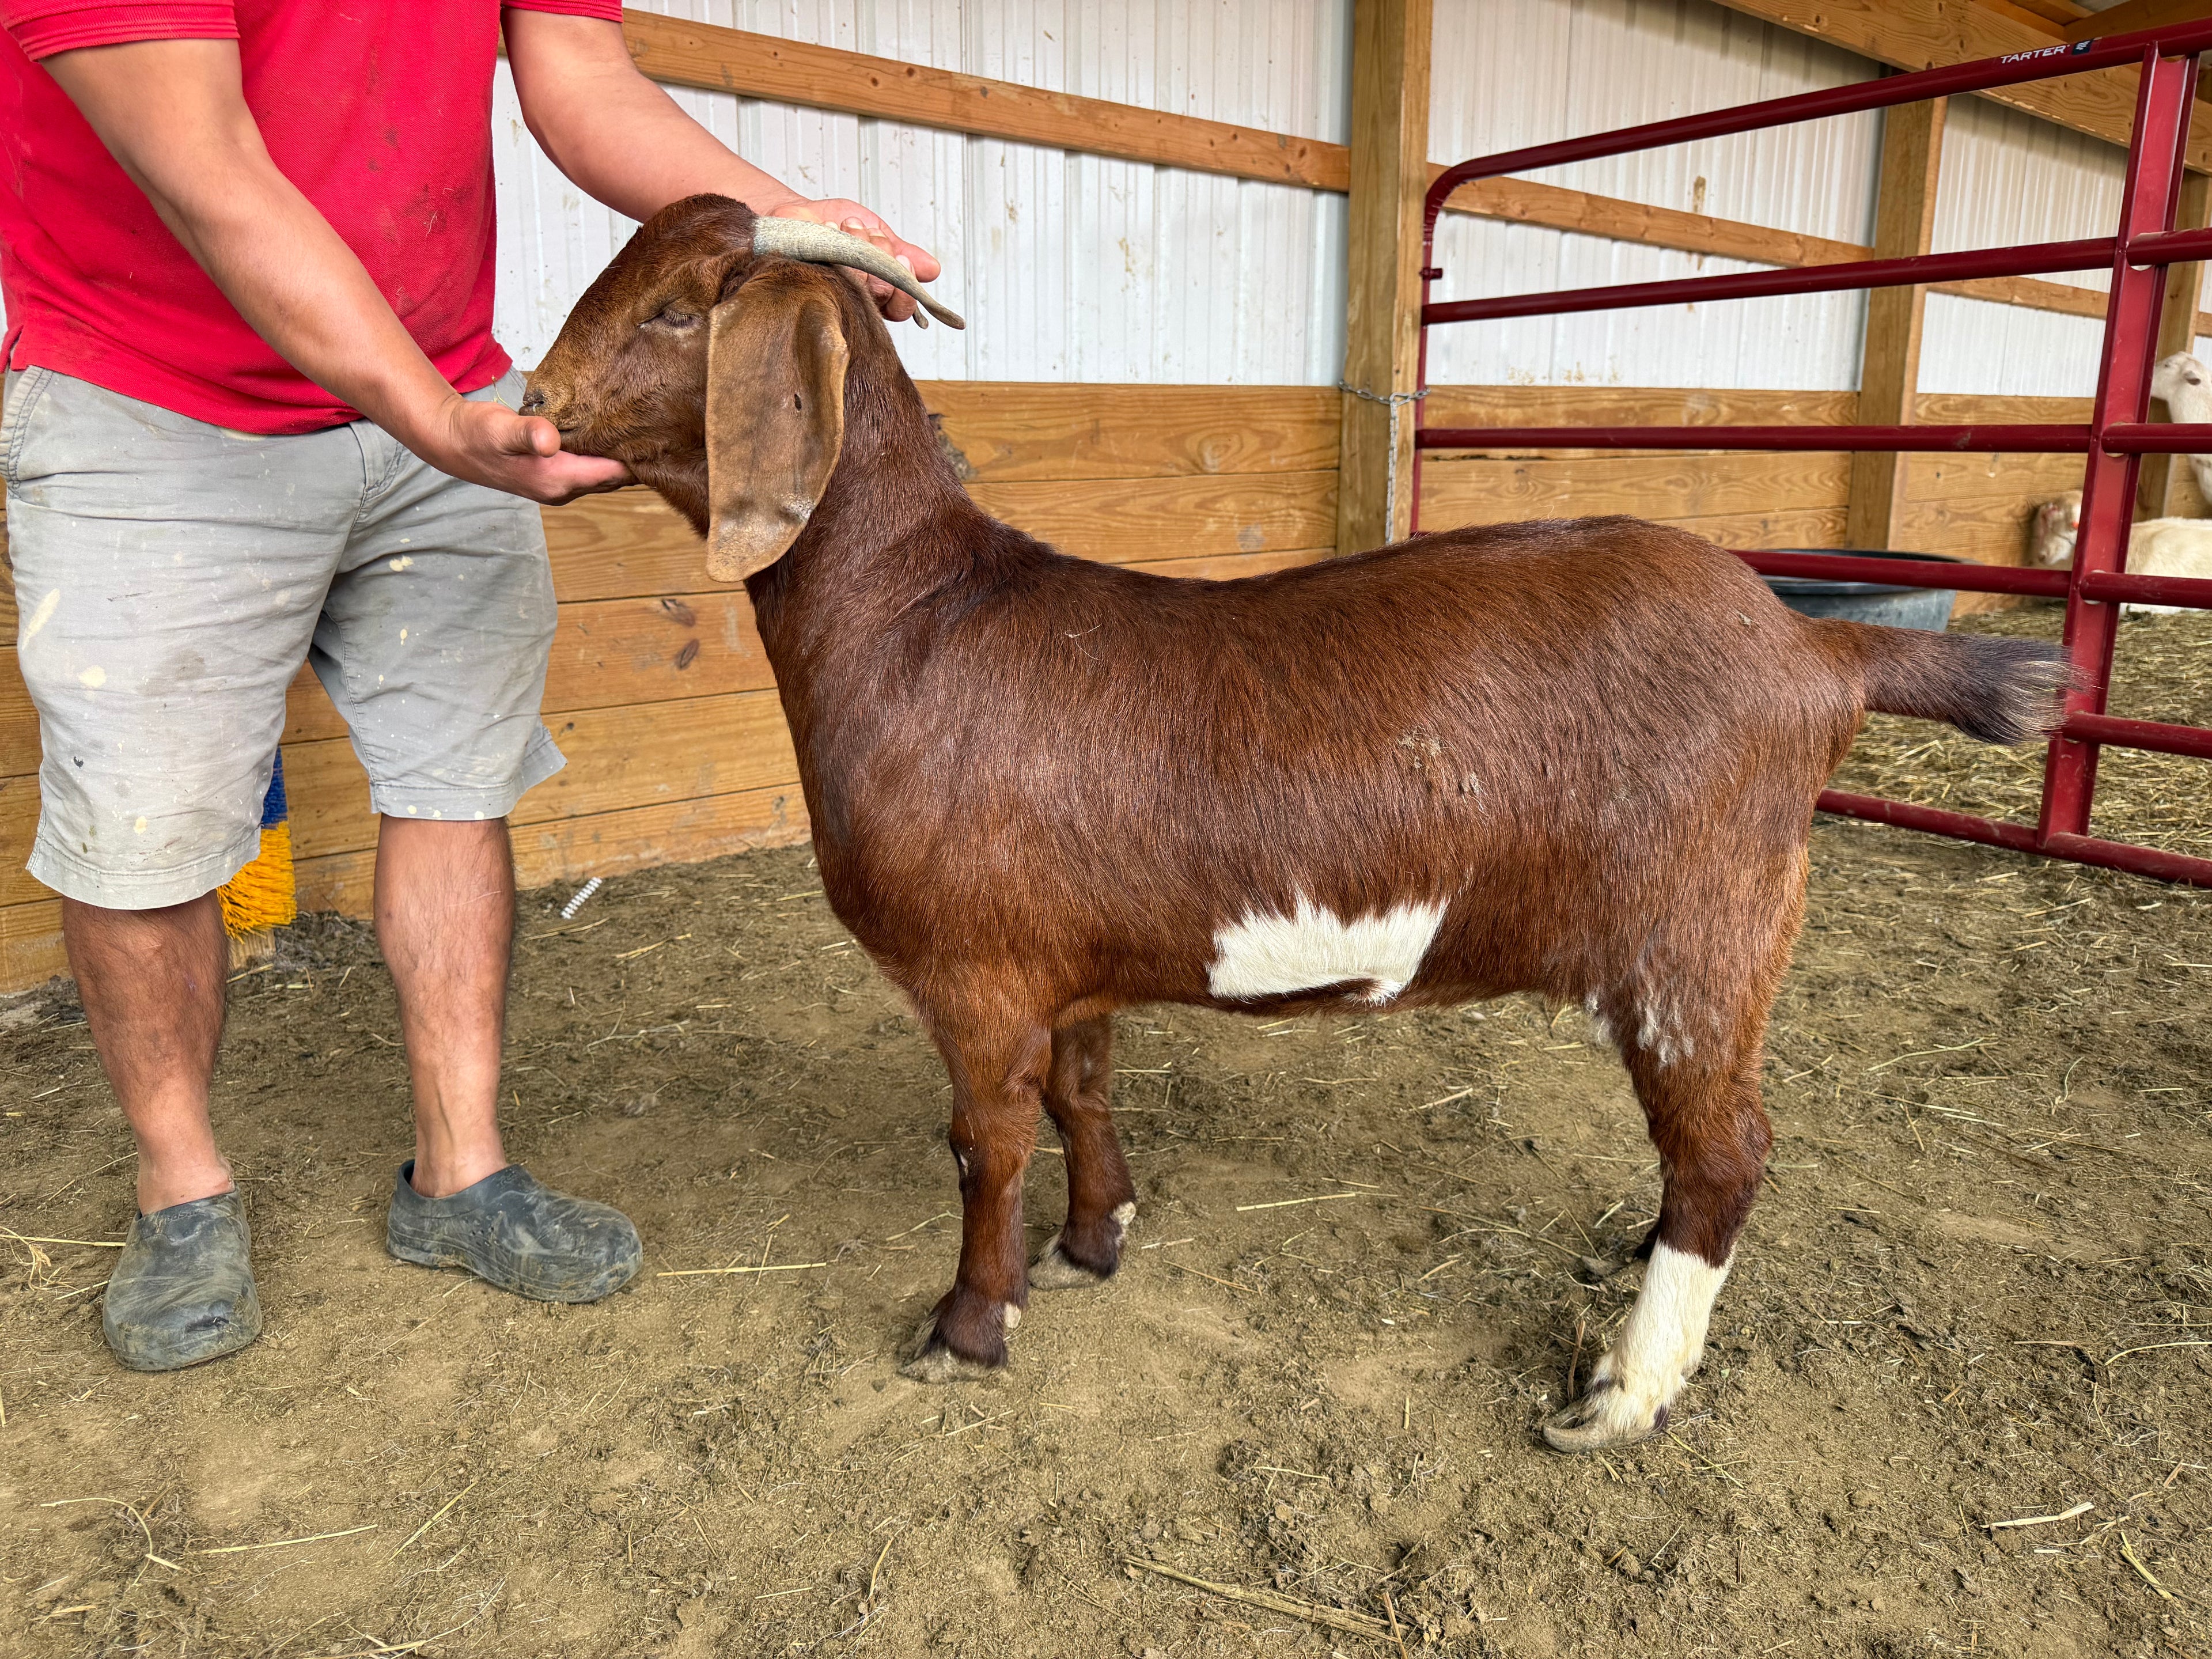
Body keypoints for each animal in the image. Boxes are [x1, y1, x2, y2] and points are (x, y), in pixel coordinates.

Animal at [525, 196, 2066, 1452]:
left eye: (679, 307)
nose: (534, 399)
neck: (919, 618)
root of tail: (1815, 652)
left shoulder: (972, 974)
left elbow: (985, 1142)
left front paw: (968, 1327)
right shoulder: (1066, 964)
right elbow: (1082, 1094)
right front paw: (1097, 1238)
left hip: (1699, 934)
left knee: (1726, 1150)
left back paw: (1619, 1394)